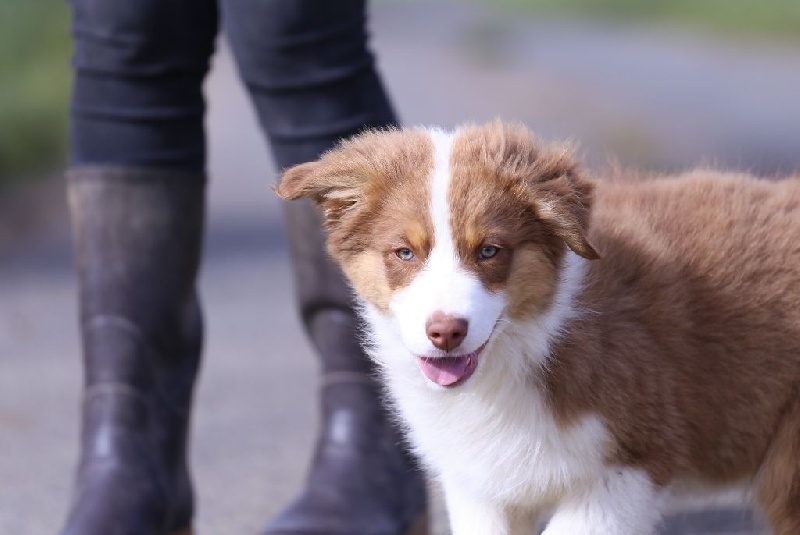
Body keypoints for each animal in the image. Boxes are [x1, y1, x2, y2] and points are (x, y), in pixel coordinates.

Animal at [276, 121, 800, 535]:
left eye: (489, 250)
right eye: (404, 252)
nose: (446, 332)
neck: (534, 340)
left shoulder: (634, 460)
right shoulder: (480, 484)